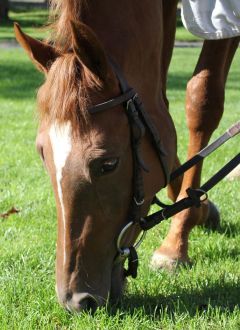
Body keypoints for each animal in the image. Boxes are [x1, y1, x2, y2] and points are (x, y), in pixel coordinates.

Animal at [14, 0, 238, 312]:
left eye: (108, 164)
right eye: (42, 155)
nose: (76, 300)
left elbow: (202, 100)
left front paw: (176, 244)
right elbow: (160, 111)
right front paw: (197, 207)